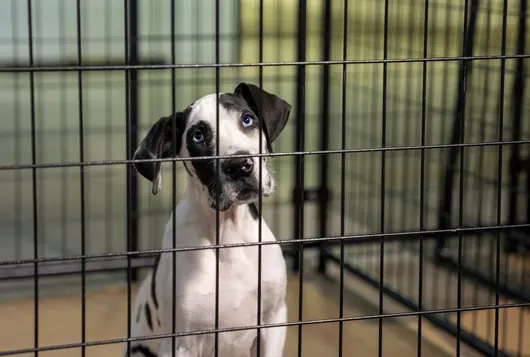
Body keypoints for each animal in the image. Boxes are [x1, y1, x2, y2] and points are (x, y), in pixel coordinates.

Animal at [123, 82, 288, 354]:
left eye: (247, 119)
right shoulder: (182, 344)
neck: (228, 236)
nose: (239, 166)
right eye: (197, 137)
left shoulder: (273, 322)